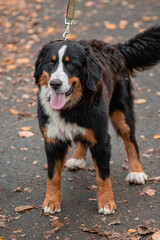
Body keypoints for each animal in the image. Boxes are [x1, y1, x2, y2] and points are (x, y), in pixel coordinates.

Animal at [34, 26, 160, 216]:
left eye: (70, 64)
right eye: (50, 63)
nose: (55, 84)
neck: (72, 107)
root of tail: (115, 47)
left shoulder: (101, 139)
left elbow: (103, 176)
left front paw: (107, 202)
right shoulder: (52, 140)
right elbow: (53, 176)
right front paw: (51, 201)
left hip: (121, 112)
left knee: (131, 140)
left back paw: (136, 172)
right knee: (84, 139)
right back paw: (77, 158)